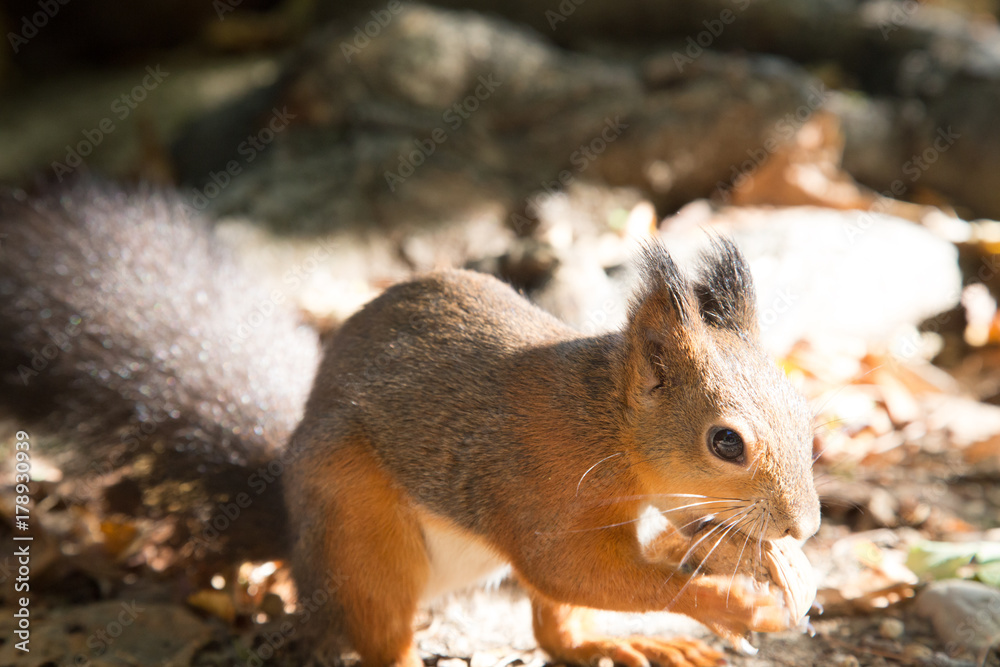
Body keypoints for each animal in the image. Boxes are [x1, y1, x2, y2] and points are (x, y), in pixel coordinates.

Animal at [0, 182, 820, 667]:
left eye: (805, 413)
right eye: (725, 442)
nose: (806, 526)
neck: (604, 427)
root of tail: (295, 530)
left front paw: (753, 564)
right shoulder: (538, 490)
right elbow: (580, 572)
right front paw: (734, 601)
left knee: (552, 632)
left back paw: (623, 646)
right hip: (360, 531)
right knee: (385, 631)